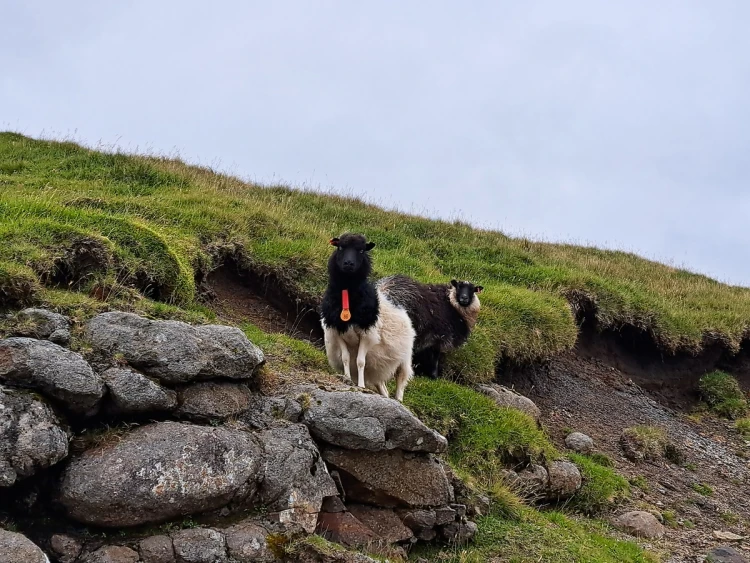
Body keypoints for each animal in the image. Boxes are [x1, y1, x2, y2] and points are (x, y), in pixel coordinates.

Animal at [320, 232, 418, 400]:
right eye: (340, 247)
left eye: (361, 250)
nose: (348, 263)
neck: (347, 294)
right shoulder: (337, 332)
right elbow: (346, 358)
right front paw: (347, 378)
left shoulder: (367, 335)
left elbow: (360, 361)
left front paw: (360, 385)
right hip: (378, 367)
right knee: (383, 388)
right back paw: (385, 397)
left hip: (404, 358)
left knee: (401, 379)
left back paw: (398, 400)